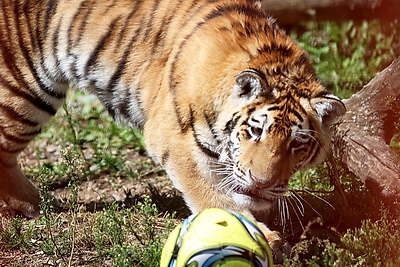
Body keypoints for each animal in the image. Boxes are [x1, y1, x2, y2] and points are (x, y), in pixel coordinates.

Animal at [0, 0, 344, 258]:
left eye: (296, 144)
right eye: (256, 131)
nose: (262, 183)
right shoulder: (172, 137)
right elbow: (210, 194)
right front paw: (261, 236)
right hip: (24, 89)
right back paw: (26, 205)